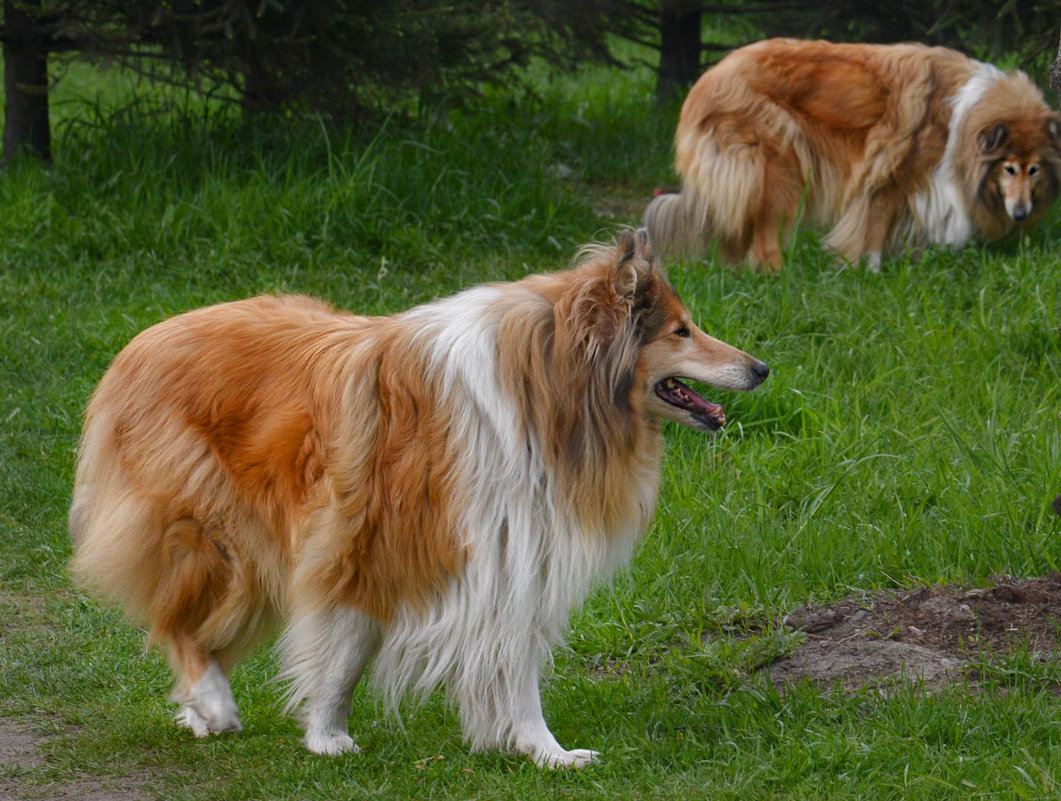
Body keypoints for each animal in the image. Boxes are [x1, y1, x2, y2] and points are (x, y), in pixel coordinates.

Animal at [68, 232, 763, 772]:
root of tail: (143, 340)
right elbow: (346, 652)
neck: (543, 395)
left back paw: (198, 711)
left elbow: (516, 668)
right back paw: (212, 701)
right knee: (176, 621)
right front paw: (327, 736)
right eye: (681, 330)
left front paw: (545, 752)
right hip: (215, 536)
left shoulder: (512, 552)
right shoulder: (363, 540)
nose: (761, 369)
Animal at [640, 38, 1061, 271]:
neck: (961, 115)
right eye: (1010, 168)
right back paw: (776, 275)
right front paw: (867, 271)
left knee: (735, 236)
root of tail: (707, 80)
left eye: (1034, 169)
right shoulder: (890, 174)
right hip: (779, 167)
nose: (1021, 214)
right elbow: (874, 225)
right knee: (763, 239)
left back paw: (734, 274)